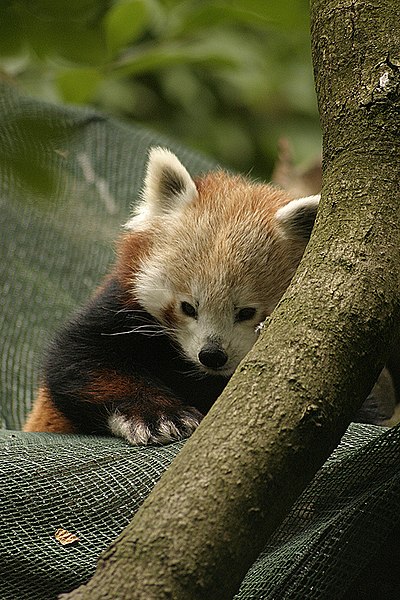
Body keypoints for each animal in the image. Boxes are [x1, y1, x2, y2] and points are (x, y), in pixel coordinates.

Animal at [24, 147, 318, 442]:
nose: (212, 355)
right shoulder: (121, 306)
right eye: (188, 307)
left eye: (246, 312)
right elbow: (75, 361)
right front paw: (160, 416)